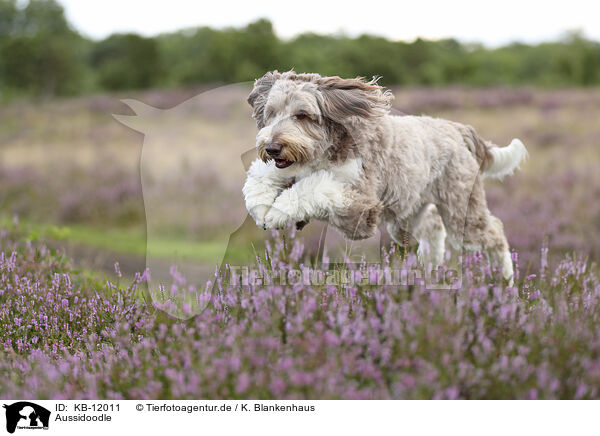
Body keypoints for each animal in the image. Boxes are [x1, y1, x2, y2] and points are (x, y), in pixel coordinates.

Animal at [241, 70, 528, 282]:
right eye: (271, 113)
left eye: (302, 115)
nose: (272, 147)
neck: (327, 151)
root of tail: (459, 130)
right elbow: (262, 175)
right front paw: (261, 203)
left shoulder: (361, 209)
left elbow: (314, 189)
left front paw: (278, 211)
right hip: (409, 210)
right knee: (434, 227)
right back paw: (428, 270)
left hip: (461, 210)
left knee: (494, 233)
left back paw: (504, 281)